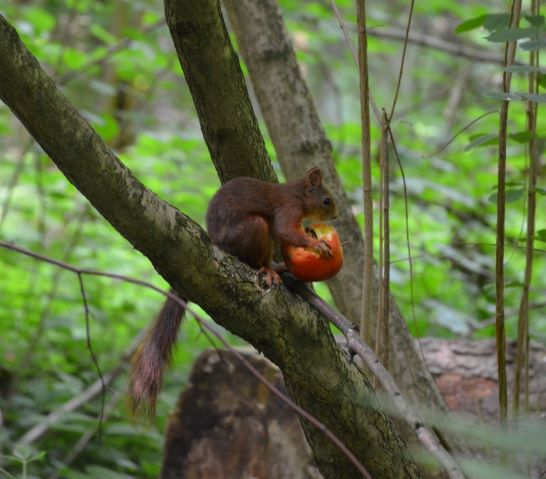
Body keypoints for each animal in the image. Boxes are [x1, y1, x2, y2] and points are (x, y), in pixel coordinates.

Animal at [130, 167, 338, 414]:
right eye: (326, 200)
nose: (336, 217)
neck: (297, 195)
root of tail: (218, 243)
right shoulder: (288, 209)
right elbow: (286, 231)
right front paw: (316, 244)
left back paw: (274, 268)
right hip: (255, 228)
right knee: (254, 257)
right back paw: (266, 270)